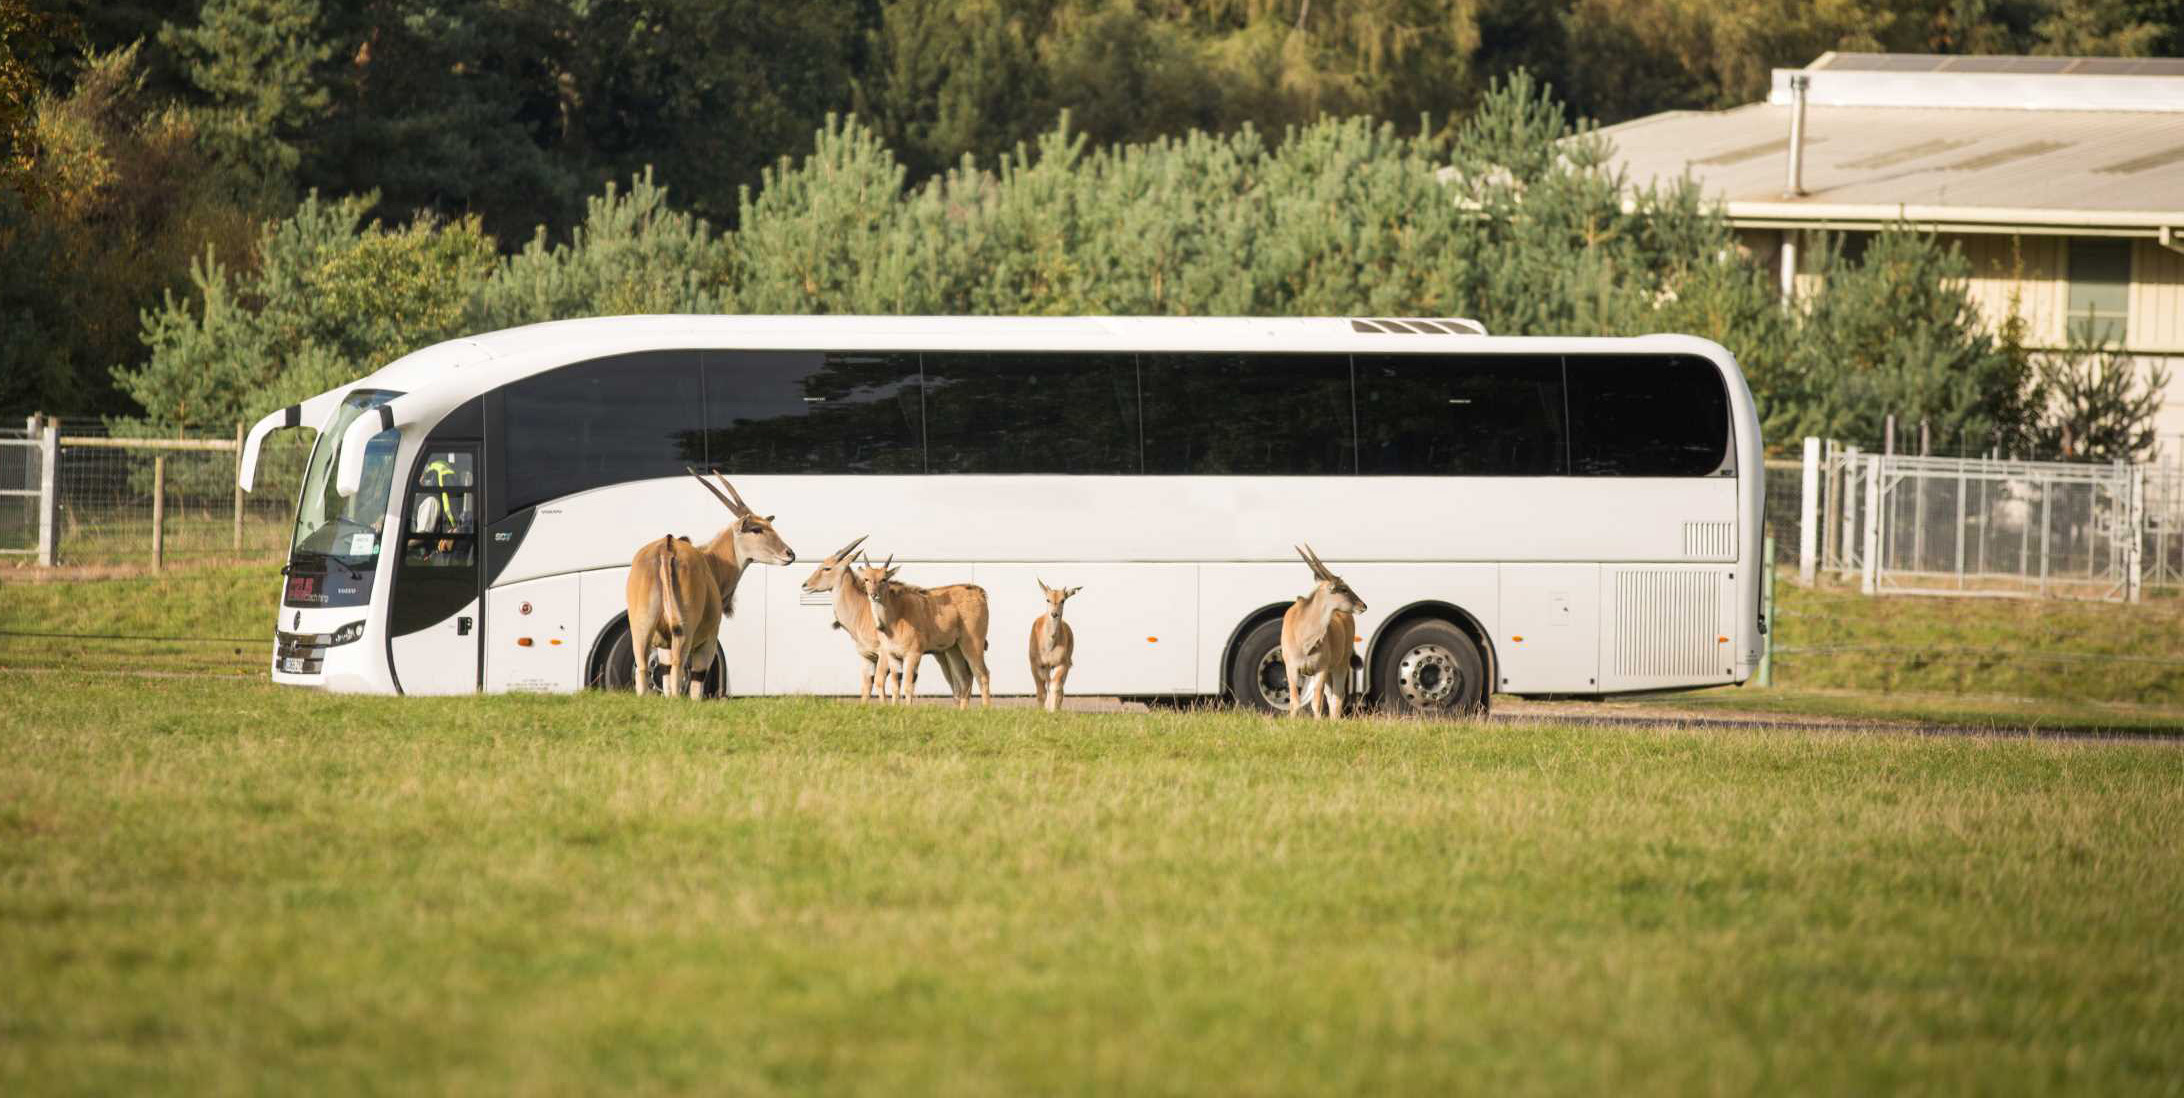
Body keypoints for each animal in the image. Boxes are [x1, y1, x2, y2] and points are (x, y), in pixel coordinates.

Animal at [624, 471, 794, 694]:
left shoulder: (663, 648)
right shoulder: (708, 642)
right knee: (678, 671)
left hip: (642, 631)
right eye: (756, 529)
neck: (711, 560)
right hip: (684, 635)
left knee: (644, 671)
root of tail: (667, 547)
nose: (789, 554)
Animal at [1030, 580, 1083, 715]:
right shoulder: (1036, 664)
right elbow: (1041, 690)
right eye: (1047, 599)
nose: (1054, 614)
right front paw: (1042, 711)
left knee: (1058, 687)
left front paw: (1053, 710)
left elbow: (1055, 687)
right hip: (1046, 667)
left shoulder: (1062, 663)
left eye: (1063, 600)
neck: (1049, 646)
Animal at [1275, 543, 1362, 720]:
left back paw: (1334, 721)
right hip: (1329, 672)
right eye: (1344, 589)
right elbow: (1295, 702)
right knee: (1331, 696)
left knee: (1338, 696)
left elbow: (1316, 704)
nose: (1363, 605)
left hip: (1340, 665)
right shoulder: (1291, 669)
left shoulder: (1320, 670)